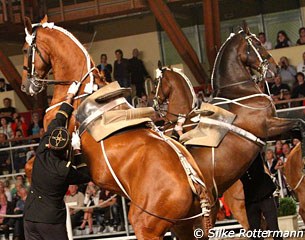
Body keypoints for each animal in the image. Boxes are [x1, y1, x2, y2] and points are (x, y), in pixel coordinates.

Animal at [21, 15, 213, 239]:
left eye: (25, 50)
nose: (26, 86)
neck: (82, 90)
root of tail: (194, 182)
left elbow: (30, 166)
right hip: (184, 228)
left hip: (144, 226)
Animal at [154, 28, 304, 234]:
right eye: (257, 44)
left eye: (156, 82)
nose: (274, 67)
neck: (239, 92)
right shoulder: (269, 126)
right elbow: (300, 123)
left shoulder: (271, 131)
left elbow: (298, 127)